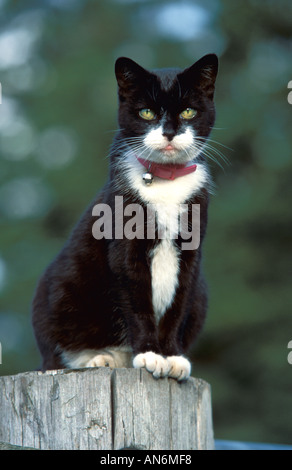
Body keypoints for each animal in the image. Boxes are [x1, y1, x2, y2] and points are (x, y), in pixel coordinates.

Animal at [33, 52, 218, 382]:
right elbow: (137, 298)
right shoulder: (125, 246)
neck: (166, 180)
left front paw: (172, 356)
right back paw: (98, 358)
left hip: (202, 293)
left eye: (188, 111)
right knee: (55, 356)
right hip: (58, 292)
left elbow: (178, 302)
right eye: (146, 112)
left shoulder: (192, 248)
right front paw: (150, 354)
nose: (169, 132)